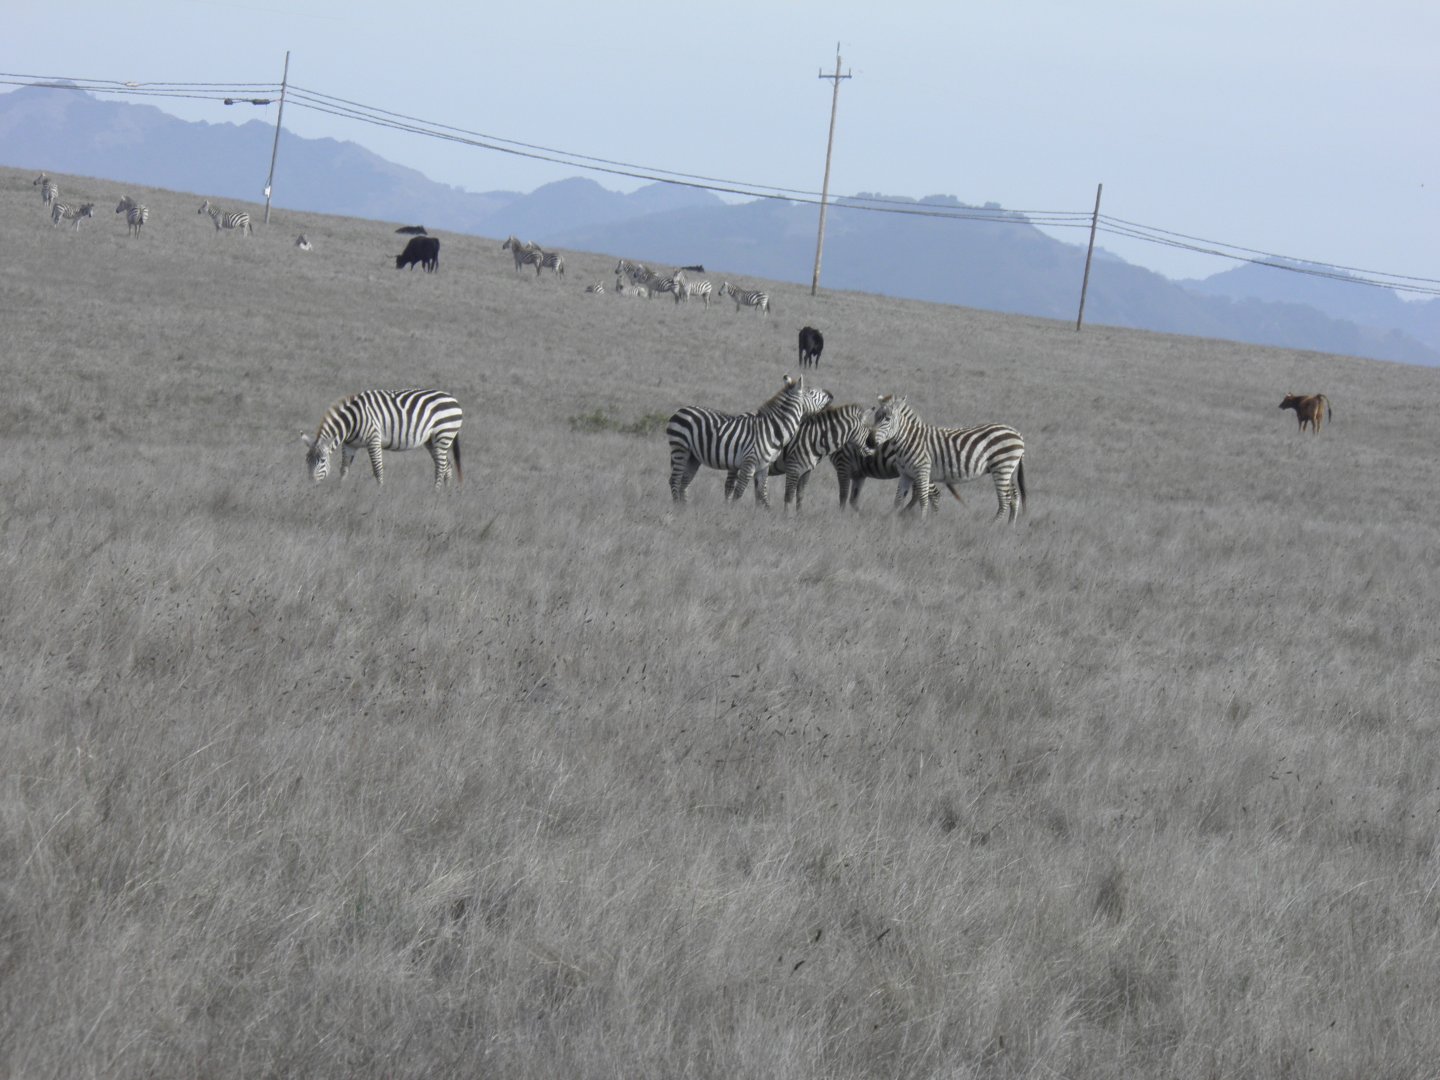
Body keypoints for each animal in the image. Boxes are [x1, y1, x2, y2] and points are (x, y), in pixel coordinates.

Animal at [301, 389, 463, 489]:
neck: (351, 421)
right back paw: (443, 494)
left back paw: (435, 491)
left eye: (322, 460)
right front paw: (340, 489)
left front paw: (379, 493)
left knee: (441, 466)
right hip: (431, 441)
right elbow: (344, 469)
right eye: (306, 460)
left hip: (443, 435)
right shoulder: (349, 445)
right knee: (447, 465)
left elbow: (377, 469)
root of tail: (453, 399)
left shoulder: (373, 438)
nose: (311, 485)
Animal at [667, 374, 832, 507]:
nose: (830, 394)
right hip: (680, 449)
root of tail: (681, 410)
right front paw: (731, 514)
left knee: (684, 482)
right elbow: (739, 492)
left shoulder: (763, 466)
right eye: (811, 392)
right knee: (675, 480)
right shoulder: (749, 463)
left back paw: (684, 508)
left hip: (693, 457)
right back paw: (677, 509)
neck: (773, 429)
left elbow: (762, 494)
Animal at [860, 395, 1026, 521]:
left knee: (1005, 500)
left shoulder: (922, 470)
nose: (869, 442)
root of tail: (1017, 434)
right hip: (1008, 470)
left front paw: (922, 523)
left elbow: (923, 498)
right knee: (1014, 497)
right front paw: (893, 521)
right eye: (875, 418)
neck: (908, 440)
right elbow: (898, 500)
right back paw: (1009, 528)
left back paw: (993, 526)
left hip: (1002, 468)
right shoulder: (906, 474)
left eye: (887, 419)